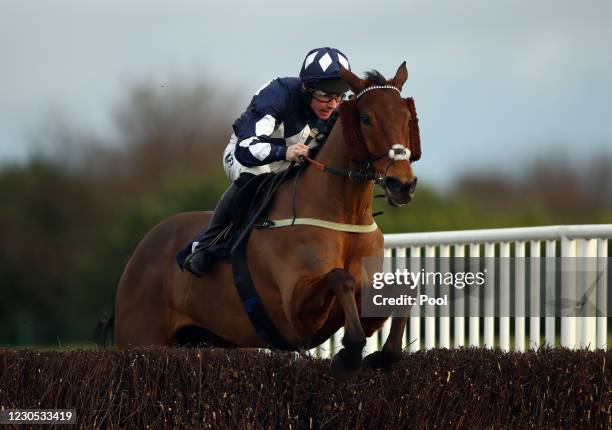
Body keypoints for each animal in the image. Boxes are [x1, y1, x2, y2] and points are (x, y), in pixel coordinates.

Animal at [112, 62, 420, 374]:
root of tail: (142, 247)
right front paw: (349, 356)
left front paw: (382, 356)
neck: (345, 215)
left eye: (407, 117)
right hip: (139, 336)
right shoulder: (297, 316)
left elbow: (405, 288)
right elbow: (339, 278)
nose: (402, 184)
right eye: (366, 118)